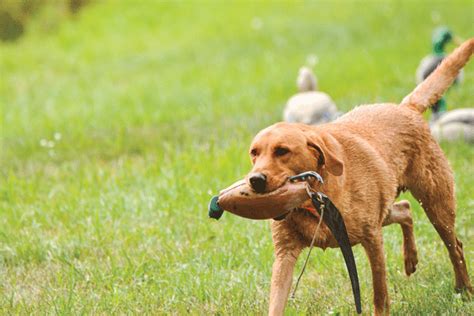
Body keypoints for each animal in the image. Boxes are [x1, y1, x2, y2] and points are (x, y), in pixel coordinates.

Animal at [246, 39, 472, 314]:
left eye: (282, 151)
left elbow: (379, 294)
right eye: (254, 153)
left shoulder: (372, 239)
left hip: (436, 203)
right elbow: (276, 303)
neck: (316, 199)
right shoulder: (285, 253)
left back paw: (464, 290)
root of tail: (406, 107)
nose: (255, 180)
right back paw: (411, 259)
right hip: (386, 209)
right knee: (405, 209)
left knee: (455, 246)